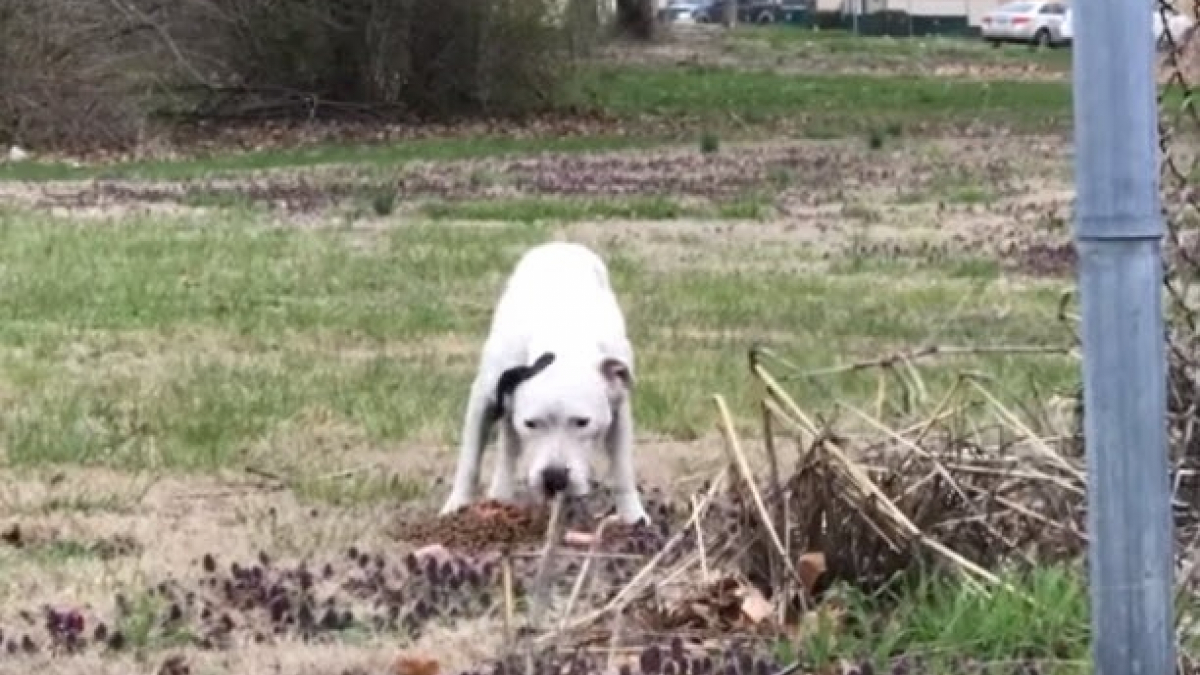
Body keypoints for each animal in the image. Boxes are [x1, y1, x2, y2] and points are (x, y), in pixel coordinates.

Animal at [439, 239, 652, 523]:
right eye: (531, 424)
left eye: (582, 422)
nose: (554, 477)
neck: (563, 337)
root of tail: (561, 244)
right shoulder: (483, 400)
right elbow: (470, 460)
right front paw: (456, 507)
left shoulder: (619, 409)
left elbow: (622, 470)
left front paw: (633, 518)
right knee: (508, 445)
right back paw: (500, 495)